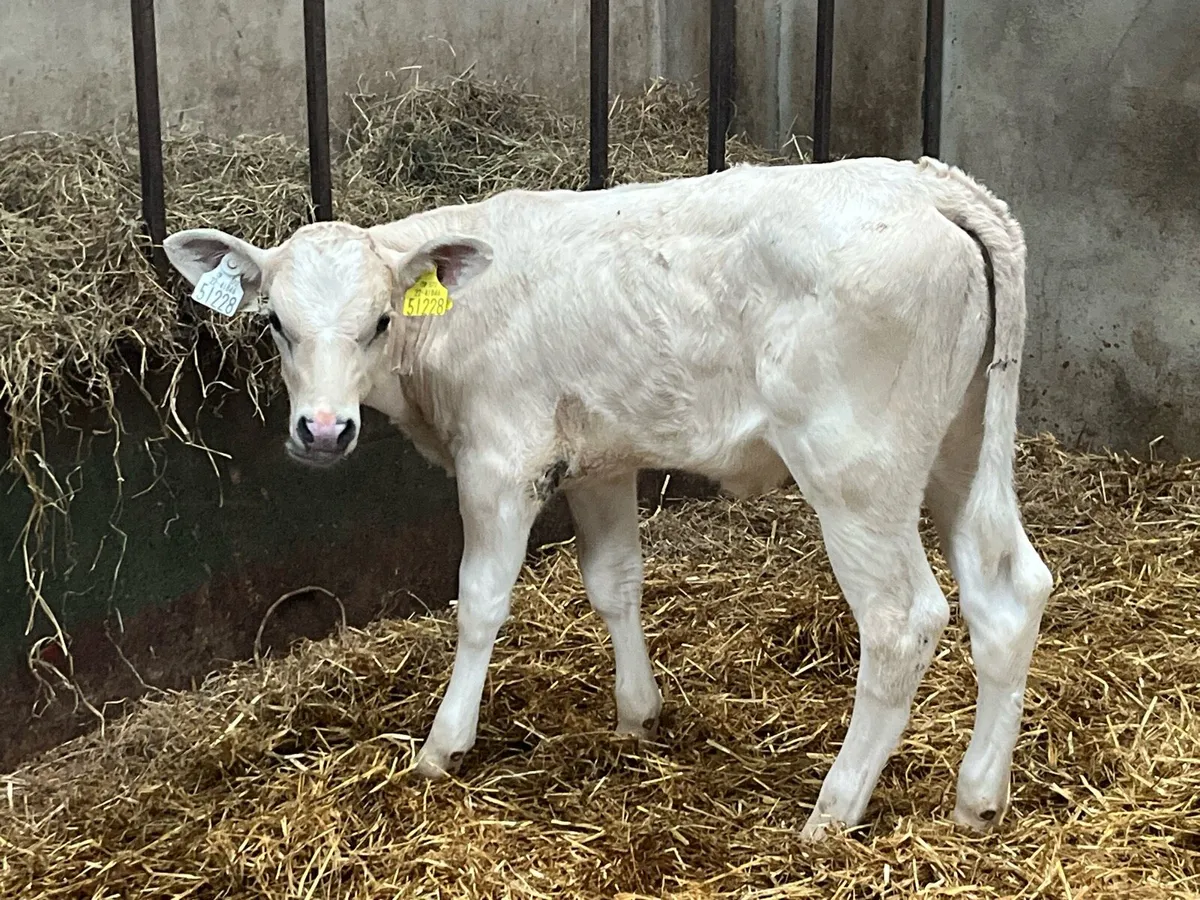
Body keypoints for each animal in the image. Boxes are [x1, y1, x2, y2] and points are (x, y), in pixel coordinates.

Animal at [163, 156, 1054, 839]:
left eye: (381, 321)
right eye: (274, 323)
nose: (322, 430)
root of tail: (934, 187)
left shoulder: (501, 461)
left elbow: (479, 601)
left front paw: (442, 748)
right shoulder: (597, 458)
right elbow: (615, 582)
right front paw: (637, 715)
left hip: (856, 466)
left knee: (903, 621)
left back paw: (832, 812)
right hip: (960, 441)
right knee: (1010, 590)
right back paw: (979, 800)